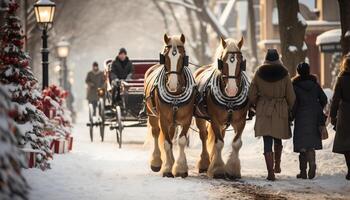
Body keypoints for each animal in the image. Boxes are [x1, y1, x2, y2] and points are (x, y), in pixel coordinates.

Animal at [143, 33, 197, 177]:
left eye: (183, 57)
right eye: (165, 57)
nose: (172, 85)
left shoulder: (186, 119)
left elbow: (181, 141)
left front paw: (180, 168)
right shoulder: (163, 119)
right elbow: (166, 143)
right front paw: (167, 168)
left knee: (172, 137)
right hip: (152, 115)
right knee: (156, 133)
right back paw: (156, 162)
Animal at [194, 36, 249, 179]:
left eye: (241, 61)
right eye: (222, 61)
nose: (231, 90)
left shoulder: (240, 121)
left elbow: (236, 143)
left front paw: (233, 170)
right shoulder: (215, 120)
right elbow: (218, 143)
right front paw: (217, 169)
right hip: (199, 118)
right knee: (204, 136)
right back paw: (205, 164)